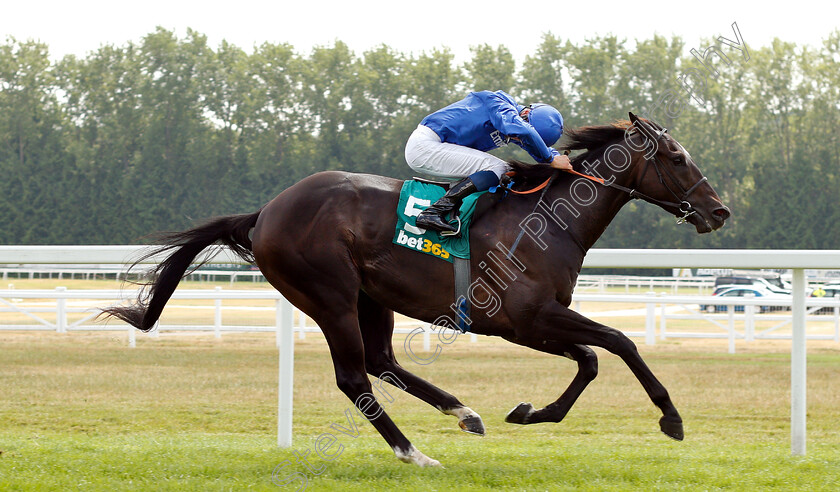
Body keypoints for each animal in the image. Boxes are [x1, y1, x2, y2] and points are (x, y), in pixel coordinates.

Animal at [103, 113, 728, 468]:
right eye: (677, 158)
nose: (719, 211)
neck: (549, 219)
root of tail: (267, 212)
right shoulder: (526, 319)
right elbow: (617, 343)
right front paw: (671, 419)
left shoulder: (532, 323)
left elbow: (591, 359)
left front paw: (530, 412)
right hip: (329, 295)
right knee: (354, 376)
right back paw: (414, 453)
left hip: (371, 297)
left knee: (382, 361)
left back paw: (464, 413)